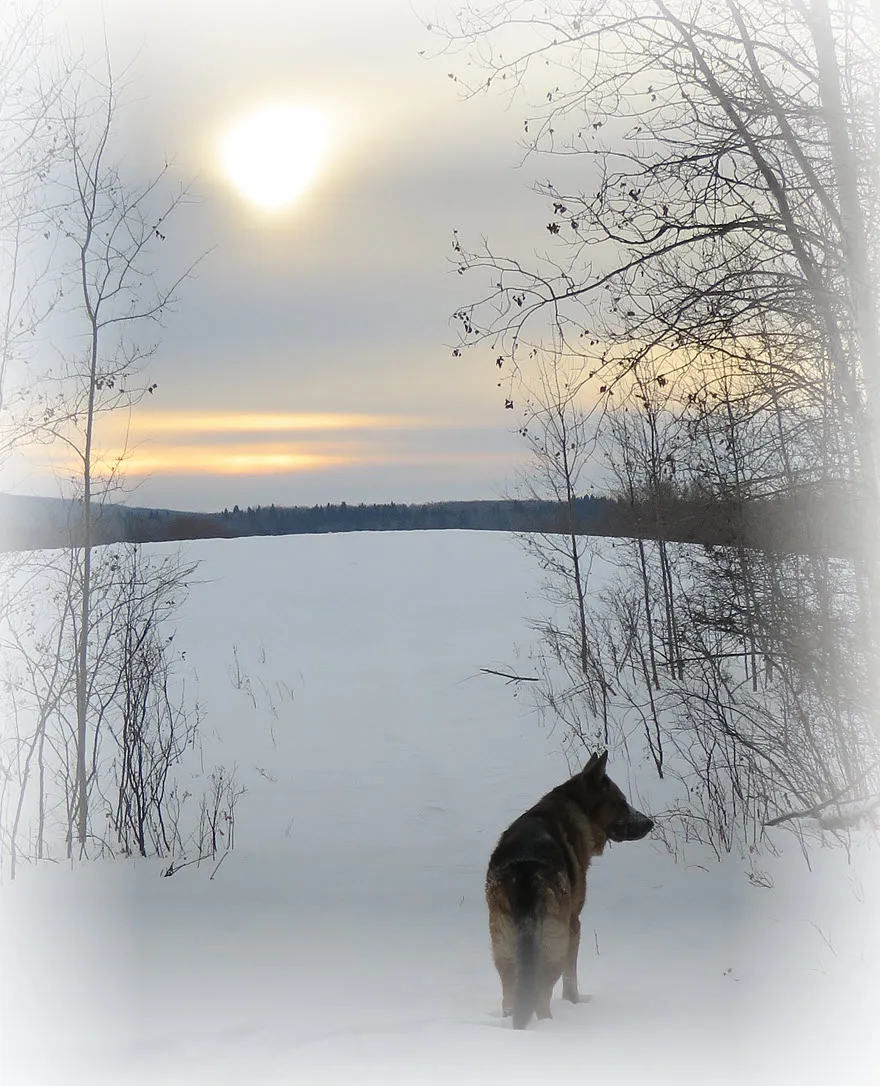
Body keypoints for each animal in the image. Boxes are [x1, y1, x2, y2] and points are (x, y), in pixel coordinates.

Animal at [484, 751, 647, 1029]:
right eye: (622, 803)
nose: (651, 823)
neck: (573, 807)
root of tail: (526, 869)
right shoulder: (574, 923)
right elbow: (571, 979)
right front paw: (574, 1002)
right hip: (553, 948)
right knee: (541, 996)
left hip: (504, 947)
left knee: (511, 997)